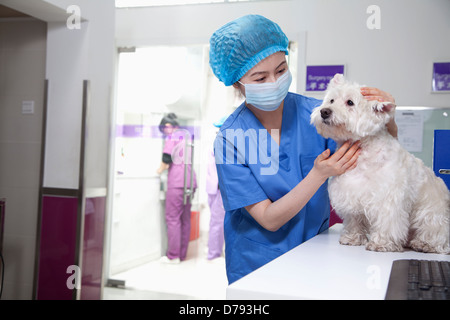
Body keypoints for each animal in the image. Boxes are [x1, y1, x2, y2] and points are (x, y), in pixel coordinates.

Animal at [312, 74, 448, 254]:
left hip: (431, 214)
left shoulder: (389, 199)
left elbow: (388, 223)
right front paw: (352, 238)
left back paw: (425, 244)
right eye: (331, 100)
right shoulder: (351, 195)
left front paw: (382, 243)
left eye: (350, 102)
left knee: (435, 232)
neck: (364, 152)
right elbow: (354, 219)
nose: (324, 111)